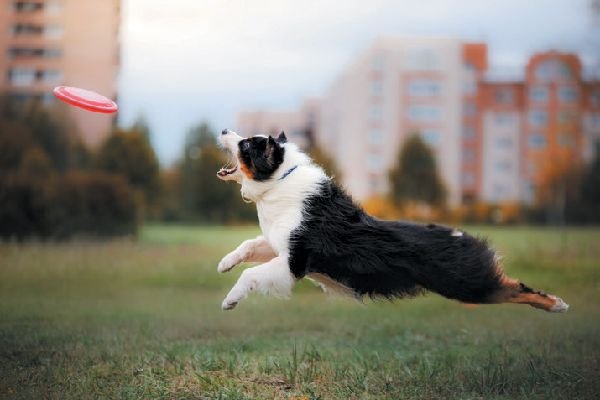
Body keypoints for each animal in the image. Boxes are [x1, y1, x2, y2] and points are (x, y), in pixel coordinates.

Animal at [214, 130, 568, 314]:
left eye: (247, 144)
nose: (224, 131)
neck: (279, 180)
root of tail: (461, 235)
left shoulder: (294, 262)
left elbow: (250, 274)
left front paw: (230, 299)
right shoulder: (280, 244)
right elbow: (249, 244)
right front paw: (224, 263)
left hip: (467, 284)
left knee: (514, 287)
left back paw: (556, 304)